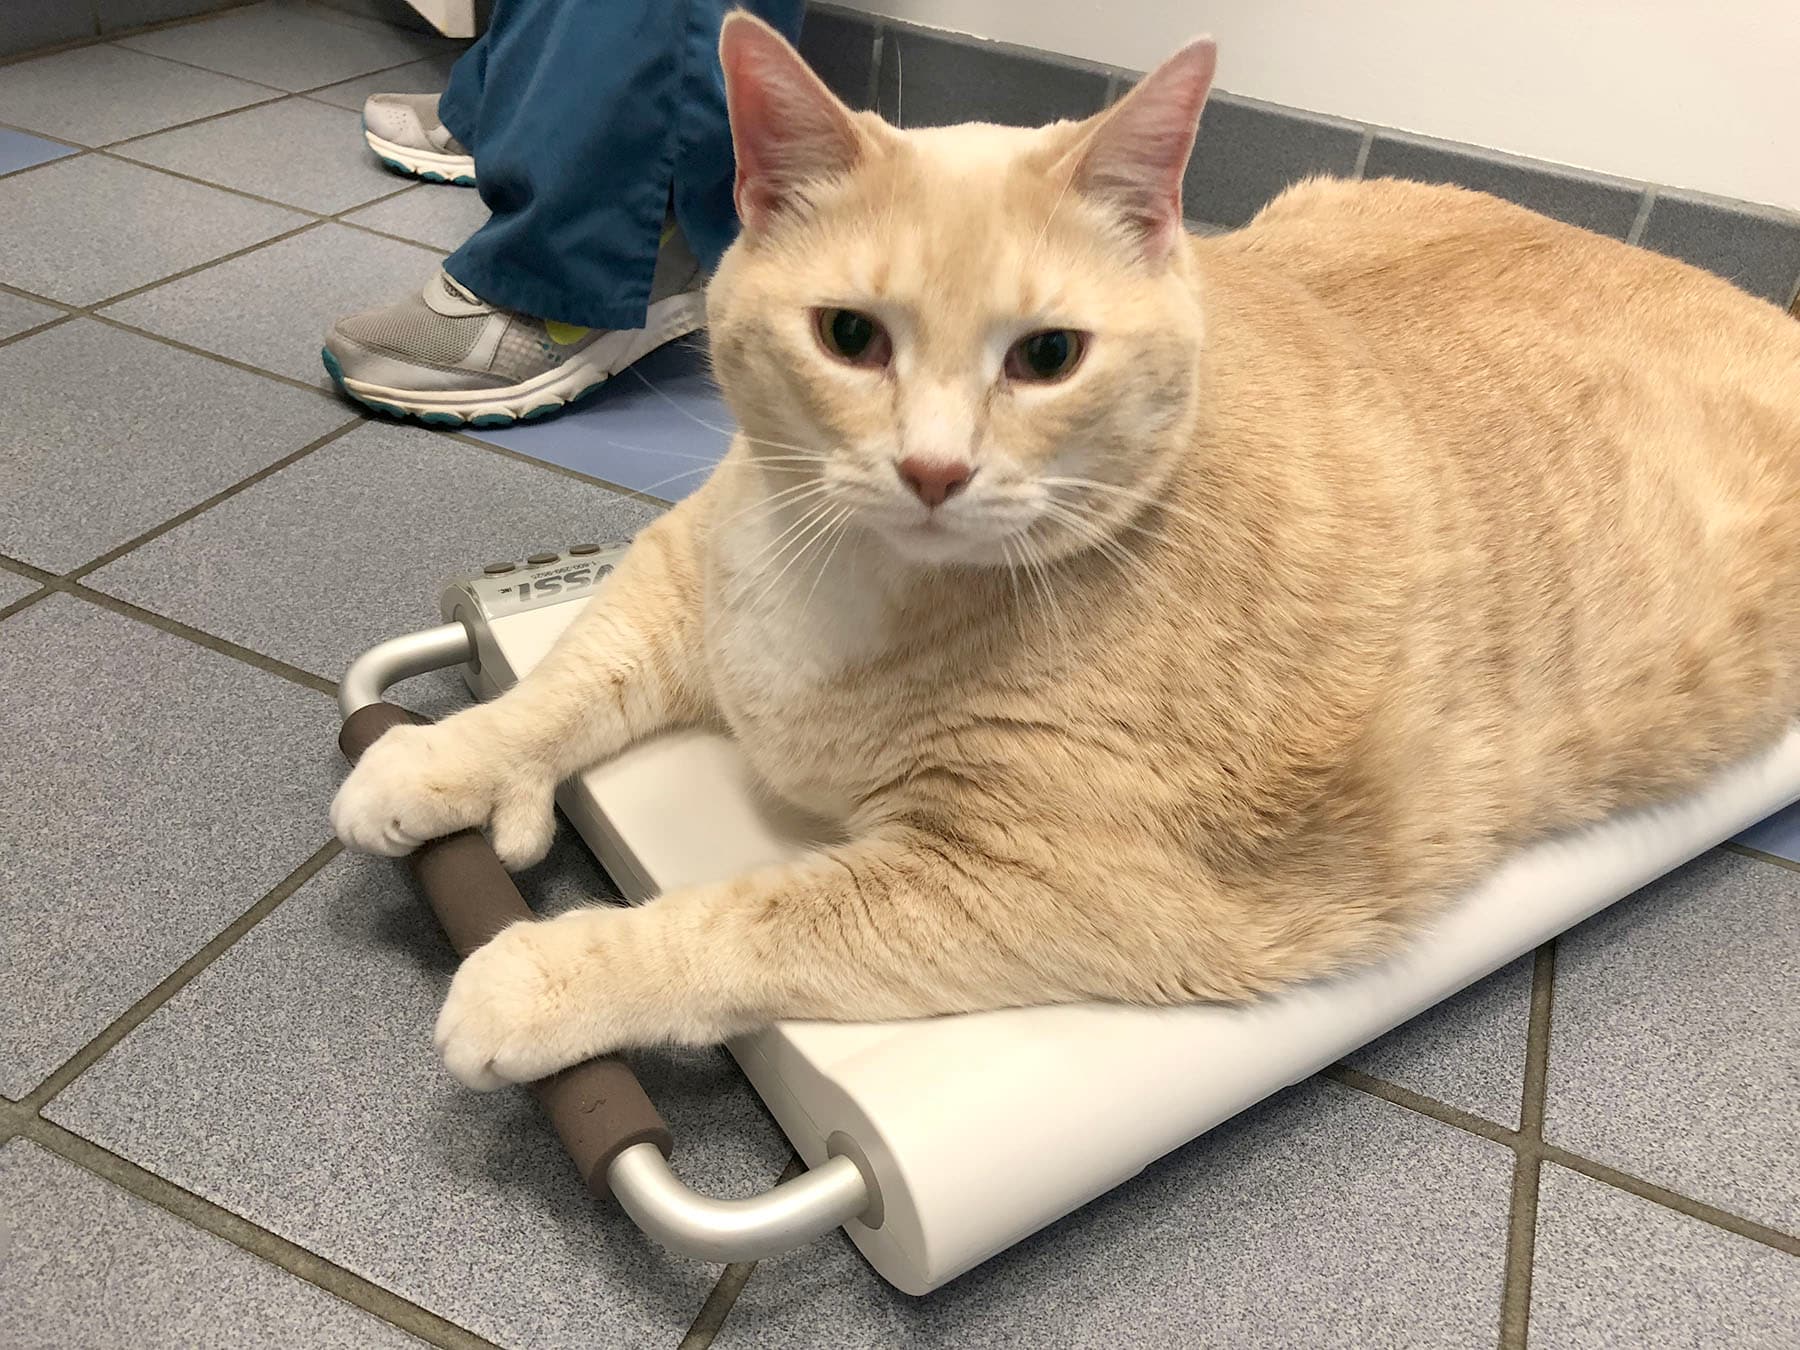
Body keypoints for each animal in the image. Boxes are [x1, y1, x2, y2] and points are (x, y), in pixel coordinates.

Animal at [331, 15, 1800, 1094]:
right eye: (850, 336)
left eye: (1046, 356)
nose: (934, 469)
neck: (855, 584)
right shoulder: (689, 569)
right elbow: (561, 685)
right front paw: (439, 761)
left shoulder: (1049, 884)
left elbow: (739, 918)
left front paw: (546, 974)